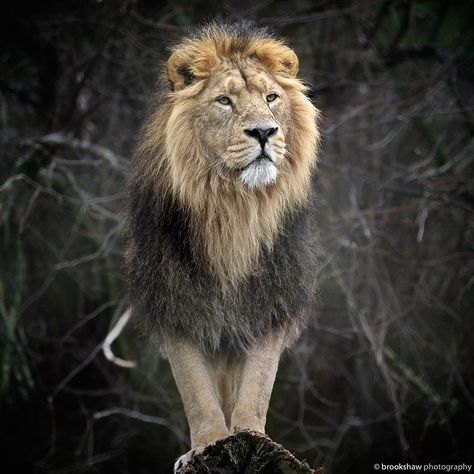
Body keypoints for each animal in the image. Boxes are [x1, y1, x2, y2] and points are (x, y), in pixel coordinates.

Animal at [124, 21, 320, 470]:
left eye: (271, 98)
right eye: (224, 101)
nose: (264, 131)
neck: (234, 208)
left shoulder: (271, 300)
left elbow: (258, 385)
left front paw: (249, 434)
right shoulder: (174, 304)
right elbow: (196, 391)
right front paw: (210, 443)